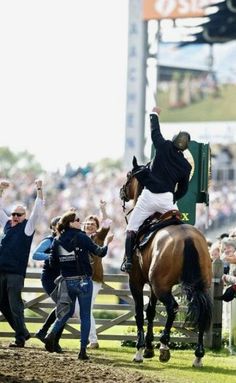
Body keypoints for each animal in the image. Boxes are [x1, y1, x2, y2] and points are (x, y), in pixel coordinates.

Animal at [121, 159, 213, 368]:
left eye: (129, 175)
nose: (122, 191)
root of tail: (188, 238)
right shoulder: (152, 286)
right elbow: (151, 311)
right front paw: (148, 348)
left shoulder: (136, 282)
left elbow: (140, 312)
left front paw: (140, 350)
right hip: (200, 285)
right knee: (203, 312)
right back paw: (198, 355)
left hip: (162, 286)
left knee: (172, 308)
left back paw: (164, 346)